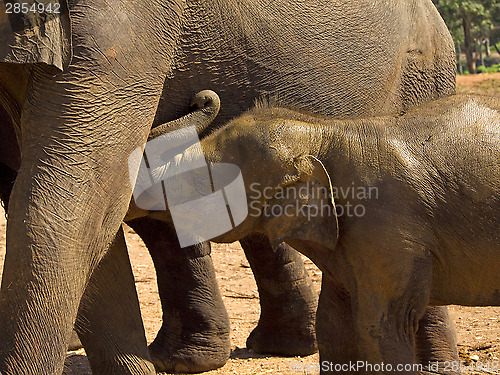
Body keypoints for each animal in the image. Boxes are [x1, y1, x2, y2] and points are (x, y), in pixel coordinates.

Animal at [133, 92, 500, 374]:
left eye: (202, 180)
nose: (201, 97)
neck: (326, 133)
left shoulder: (388, 229)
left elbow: (382, 327)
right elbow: (334, 327)